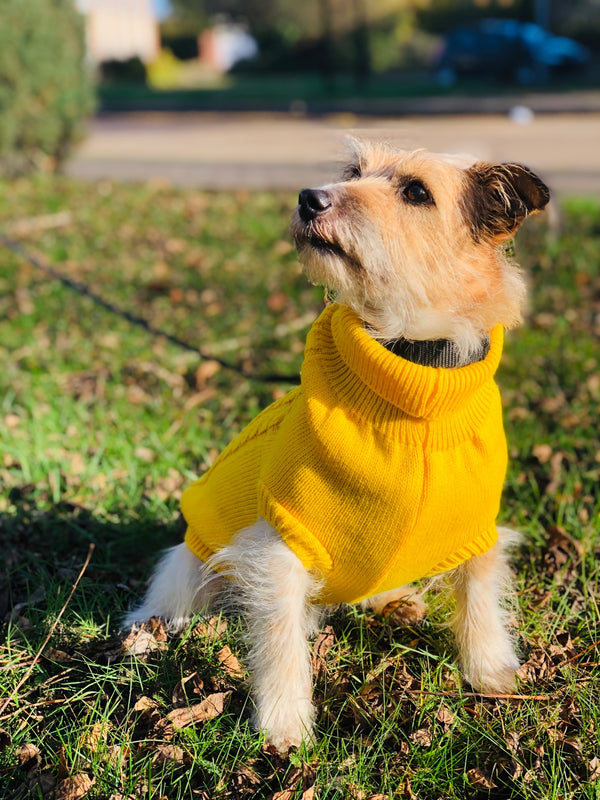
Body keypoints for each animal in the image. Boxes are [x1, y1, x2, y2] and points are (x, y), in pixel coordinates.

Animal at [125, 142, 548, 752]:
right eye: (354, 171)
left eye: (416, 191)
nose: (309, 198)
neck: (413, 374)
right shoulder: (280, 543)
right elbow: (280, 637)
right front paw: (284, 721)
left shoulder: (476, 526)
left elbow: (481, 595)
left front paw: (491, 670)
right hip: (193, 557)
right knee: (174, 589)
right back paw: (149, 629)